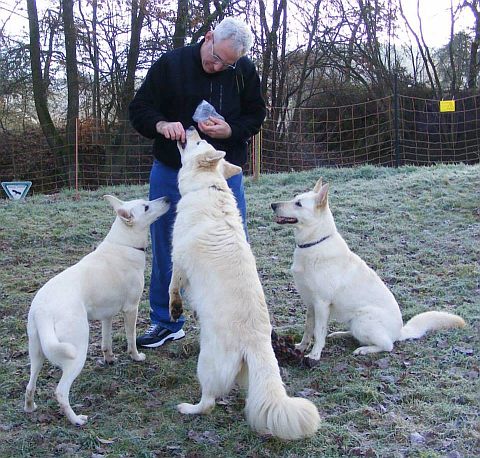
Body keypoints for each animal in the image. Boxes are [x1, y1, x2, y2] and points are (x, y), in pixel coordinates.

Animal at [24, 193, 171, 426]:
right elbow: (131, 338)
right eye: (146, 207)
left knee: (30, 385)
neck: (124, 243)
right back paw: (76, 419)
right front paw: (136, 357)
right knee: (60, 392)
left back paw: (30, 408)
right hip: (76, 351)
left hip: (37, 351)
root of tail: (43, 311)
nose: (167, 198)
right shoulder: (131, 308)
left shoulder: (107, 315)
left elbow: (106, 342)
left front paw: (109, 359)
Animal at [167, 127, 320, 442]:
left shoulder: (178, 258)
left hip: (206, 363)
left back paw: (188, 408)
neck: (209, 188)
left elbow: (172, 287)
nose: (191, 127)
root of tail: (258, 343)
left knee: (209, 402)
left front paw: (175, 309)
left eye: (199, 142)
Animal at [272, 178, 466, 362]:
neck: (315, 243)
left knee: (387, 345)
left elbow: (319, 333)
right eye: (294, 198)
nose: (273, 205)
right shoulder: (311, 305)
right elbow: (308, 330)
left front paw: (314, 355)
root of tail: (400, 331)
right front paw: (300, 348)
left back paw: (364, 349)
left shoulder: (321, 304)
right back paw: (341, 334)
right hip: (354, 321)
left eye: (298, 204)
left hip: (362, 320)